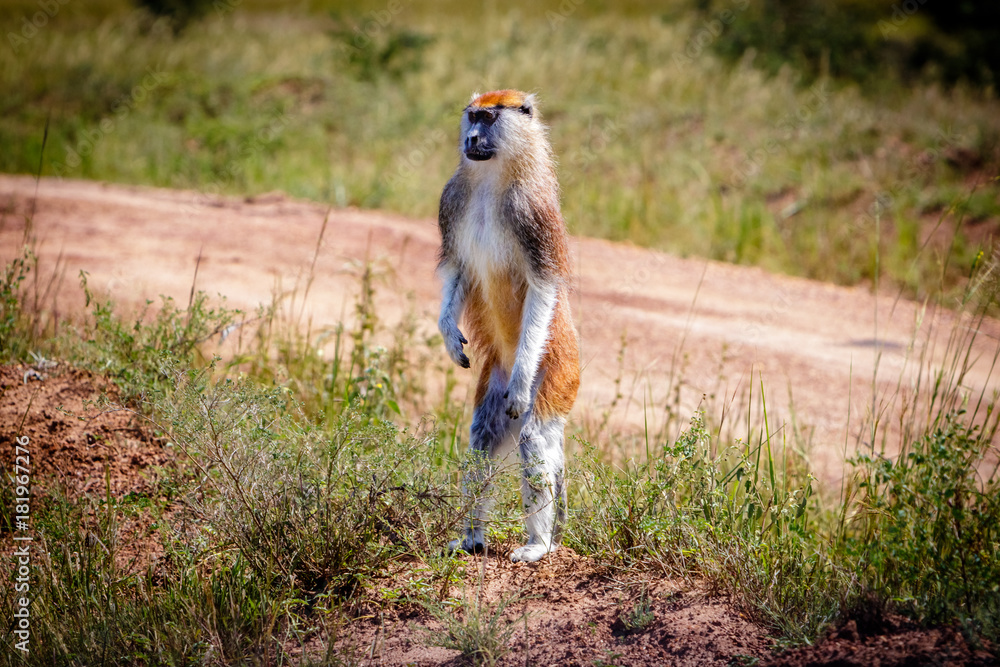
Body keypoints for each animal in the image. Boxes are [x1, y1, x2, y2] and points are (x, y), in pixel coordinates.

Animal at [436, 89, 580, 563]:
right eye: (473, 116)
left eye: (490, 119)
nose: (472, 138)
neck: (492, 179)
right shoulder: (452, 201)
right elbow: (458, 268)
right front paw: (448, 333)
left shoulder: (533, 214)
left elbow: (543, 287)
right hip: (492, 378)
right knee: (481, 439)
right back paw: (471, 538)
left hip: (559, 376)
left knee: (533, 438)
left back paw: (538, 545)